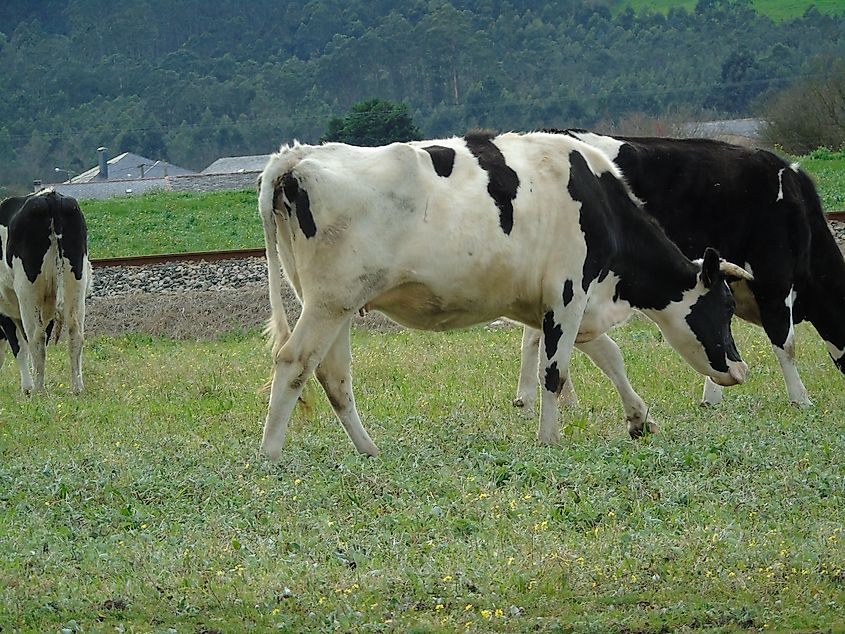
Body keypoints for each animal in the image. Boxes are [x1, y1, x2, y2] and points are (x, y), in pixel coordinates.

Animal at [0, 190, 90, 392]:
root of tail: (51, 196)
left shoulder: (5, 311)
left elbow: (19, 347)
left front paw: (27, 388)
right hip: (76, 283)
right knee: (75, 333)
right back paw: (77, 388)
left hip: (27, 291)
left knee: (36, 338)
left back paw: (38, 391)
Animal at [256, 128, 744, 456]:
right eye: (725, 307)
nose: (740, 370)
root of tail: (296, 156)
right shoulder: (568, 292)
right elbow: (554, 372)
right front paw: (549, 439)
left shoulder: (566, 305)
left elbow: (610, 357)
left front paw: (639, 419)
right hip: (329, 304)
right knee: (294, 362)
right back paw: (271, 455)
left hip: (333, 306)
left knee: (333, 376)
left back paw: (369, 450)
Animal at [516, 132, 844, 410]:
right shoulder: (774, 278)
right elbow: (785, 342)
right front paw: (800, 399)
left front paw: (712, 398)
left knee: (537, 334)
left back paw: (535, 399)